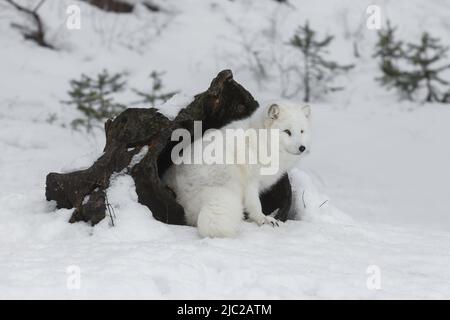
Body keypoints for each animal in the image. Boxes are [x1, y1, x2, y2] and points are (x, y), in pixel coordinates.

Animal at [163, 101, 312, 239]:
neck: (260, 141)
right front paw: (262, 219)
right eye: (287, 132)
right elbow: (255, 205)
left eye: (302, 131)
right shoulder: (251, 182)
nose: (302, 148)